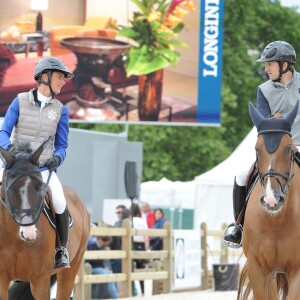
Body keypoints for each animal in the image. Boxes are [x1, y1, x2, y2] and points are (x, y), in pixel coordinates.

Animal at [0, 139, 90, 298]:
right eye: (11, 188)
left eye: (40, 187)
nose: (29, 233)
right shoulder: (2, 279)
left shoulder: (40, 279)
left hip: (71, 268)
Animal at [239, 101, 300, 300]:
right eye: (257, 149)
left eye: (289, 149)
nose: (272, 200)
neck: (276, 221)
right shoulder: (257, 268)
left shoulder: (297, 269)